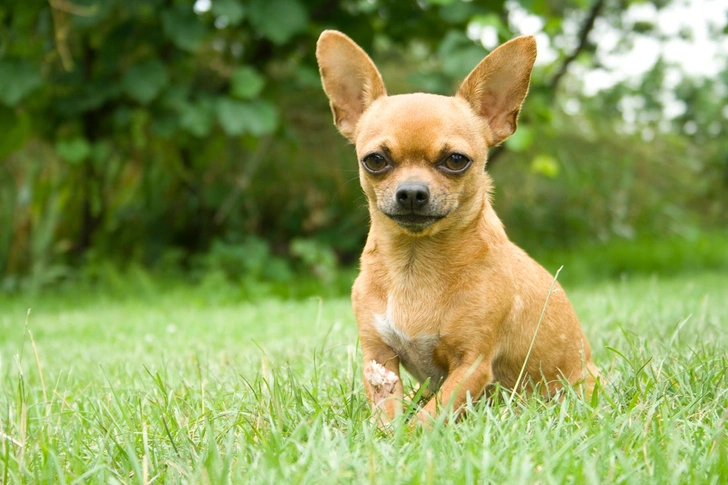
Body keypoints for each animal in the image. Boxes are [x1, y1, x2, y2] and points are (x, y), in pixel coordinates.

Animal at [316, 30, 600, 424]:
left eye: (456, 160)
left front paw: (409, 435)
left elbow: (426, 419)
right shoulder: (379, 359)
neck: (414, 265)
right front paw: (385, 433)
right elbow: (388, 415)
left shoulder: (471, 366)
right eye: (375, 160)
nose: (412, 192)